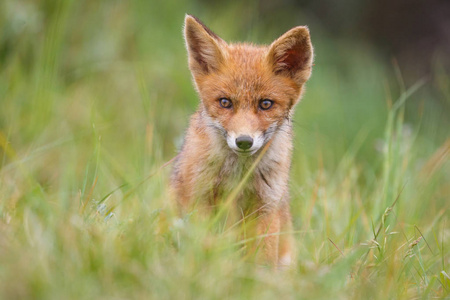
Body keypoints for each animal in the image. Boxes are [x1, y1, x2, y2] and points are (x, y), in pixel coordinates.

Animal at [171, 14, 314, 268]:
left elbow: (263, 258)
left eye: (265, 104)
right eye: (225, 102)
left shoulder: (267, 205)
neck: (238, 175)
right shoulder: (200, 197)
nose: (244, 141)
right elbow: (203, 246)